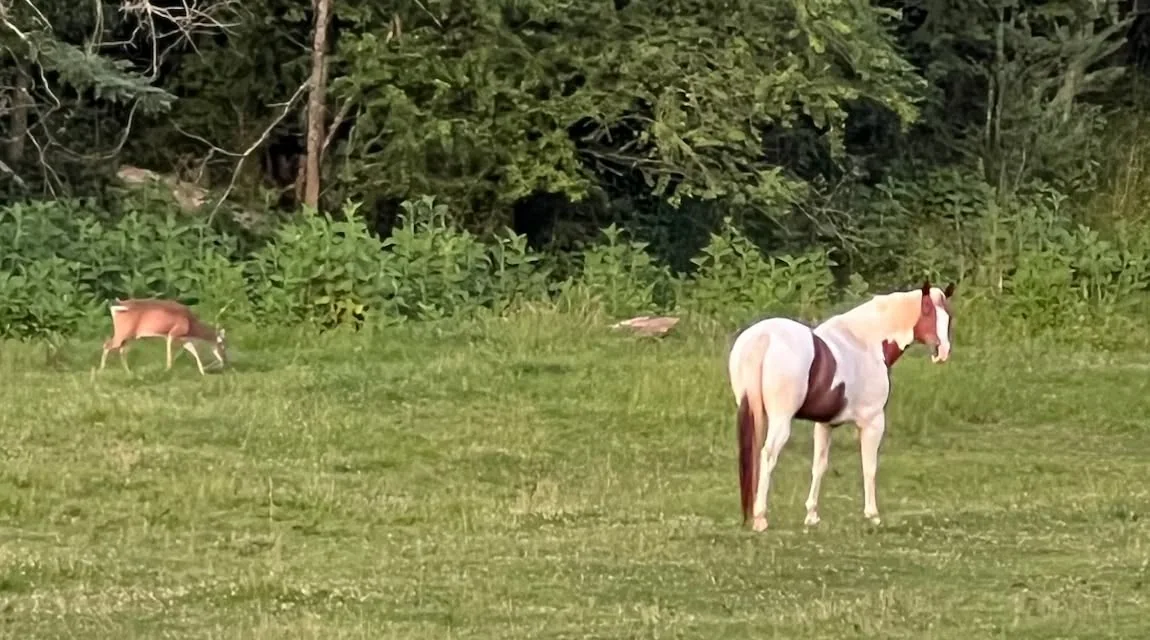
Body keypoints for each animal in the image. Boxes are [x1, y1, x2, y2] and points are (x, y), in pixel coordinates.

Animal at [727, 280, 955, 532]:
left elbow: (819, 465)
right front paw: (872, 515)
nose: (942, 351)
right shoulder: (873, 422)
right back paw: (760, 518)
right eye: (927, 312)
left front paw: (812, 515)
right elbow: (869, 466)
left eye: (948, 316)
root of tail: (763, 338)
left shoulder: (825, 424)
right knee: (768, 455)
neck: (866, 342)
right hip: (781, 420)